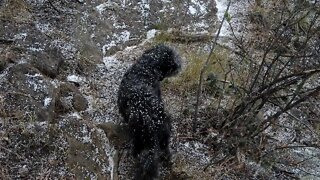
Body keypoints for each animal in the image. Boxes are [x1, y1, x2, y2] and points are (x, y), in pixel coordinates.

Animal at [117, 44, 181, 179]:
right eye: (171, 57)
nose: (179, 65)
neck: (145, 68)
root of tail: (152, 122)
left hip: (139, 138)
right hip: (163, 136)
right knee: (164, 151)